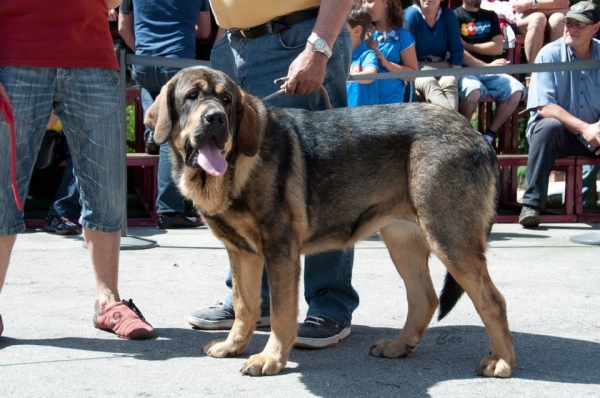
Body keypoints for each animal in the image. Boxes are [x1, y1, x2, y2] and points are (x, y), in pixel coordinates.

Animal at [145, 67, 516, 378]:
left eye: (226, 100)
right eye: (192, 96)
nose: (216, 119)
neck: (235, 168)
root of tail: (475, 134)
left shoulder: (280, 253)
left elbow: (280, 313)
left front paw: (271, 358)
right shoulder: (243, 253)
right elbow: (244, 304)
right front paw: (233, 347)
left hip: (450, 238)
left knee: (492, 300)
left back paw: (501, 361)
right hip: (402, 241)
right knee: (424, 297)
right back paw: (399, 346)